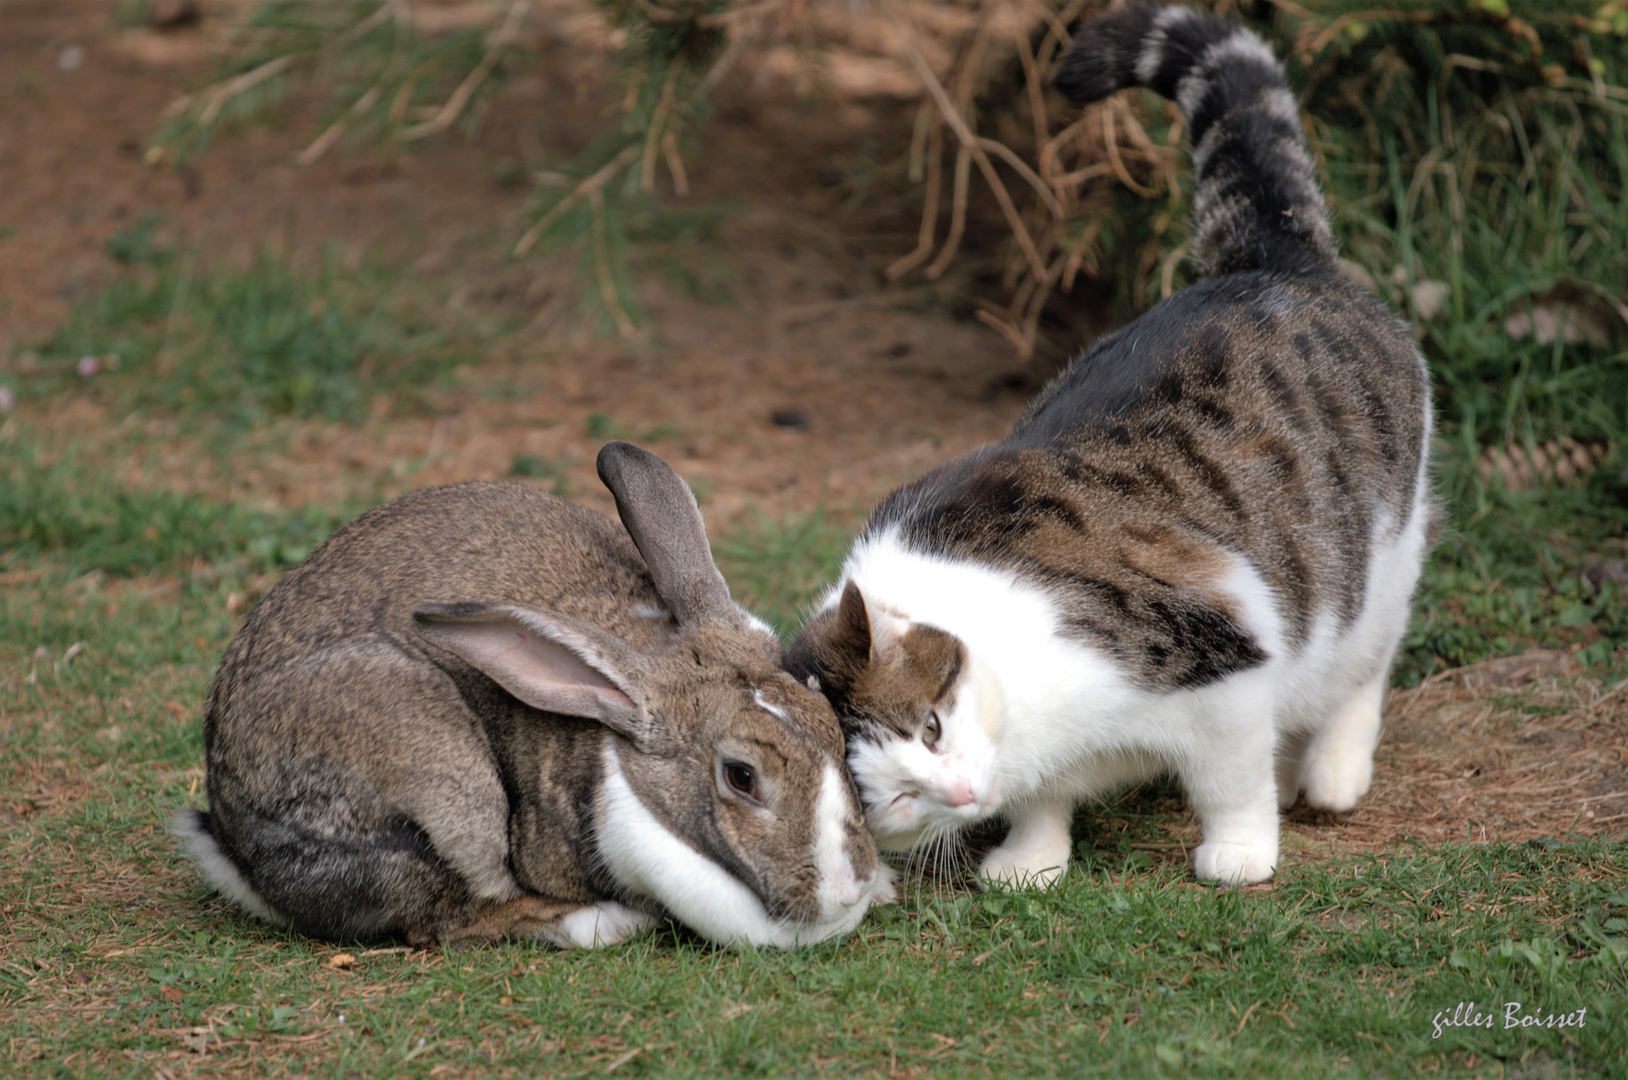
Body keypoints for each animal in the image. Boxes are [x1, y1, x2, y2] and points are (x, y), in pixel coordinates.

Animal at [175, 443, 892, 951]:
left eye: (834, 732)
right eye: (742, 777)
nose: (847, 886)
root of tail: (232, 841)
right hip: (440, 774)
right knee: (441, 917)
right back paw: (598, 924)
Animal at [781, 2, 1432, 886]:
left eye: (931, 727)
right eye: (890, 799)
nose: (959, 794)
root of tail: (1272, 258)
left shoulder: (1225, 653)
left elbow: (1230, 777)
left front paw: (1238, 853)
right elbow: (1040, 803)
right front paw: (1031, 858)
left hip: (1376, 561)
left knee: (1368, 659)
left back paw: (1333, 770)